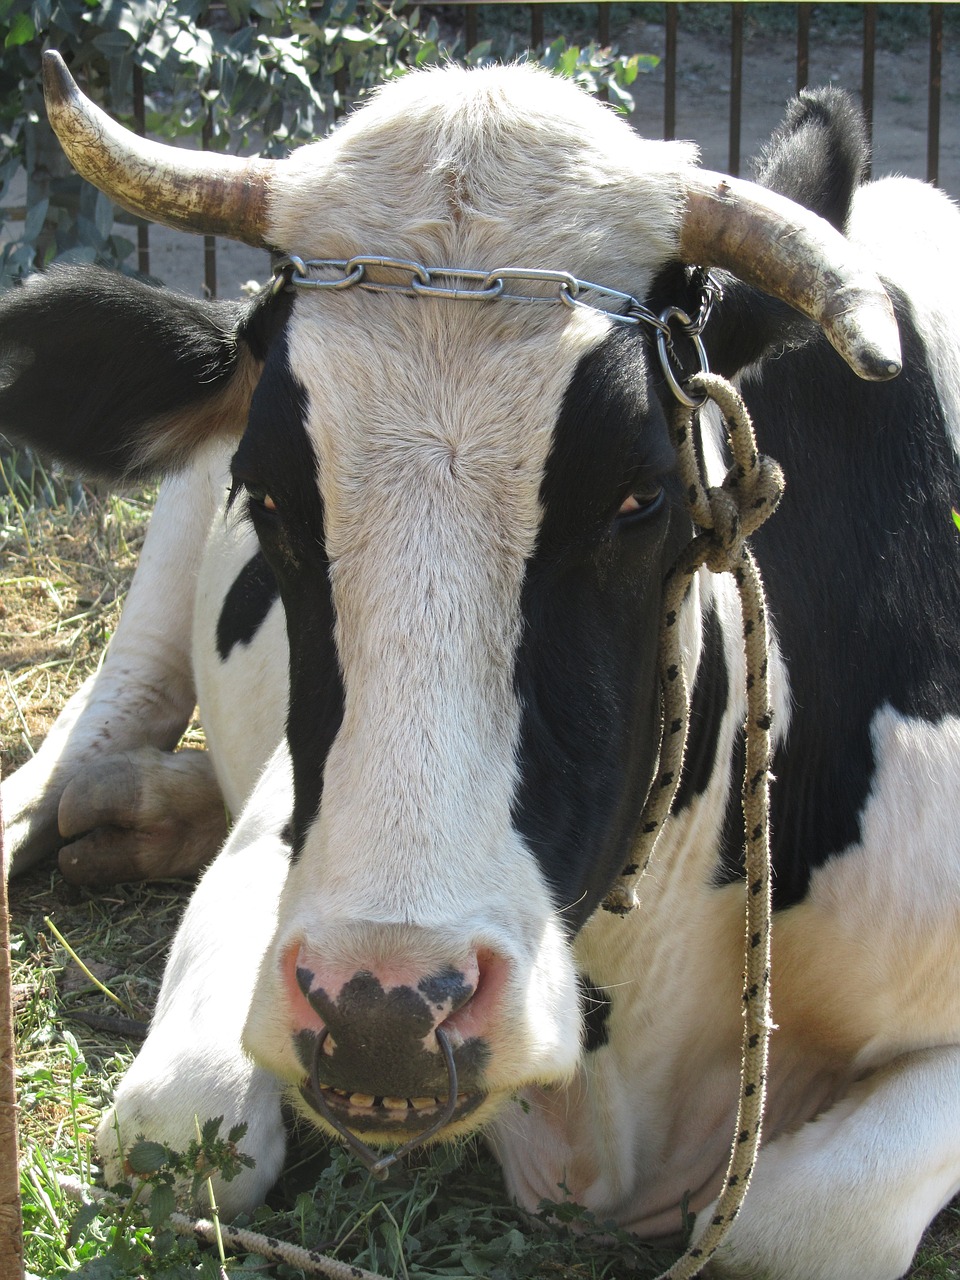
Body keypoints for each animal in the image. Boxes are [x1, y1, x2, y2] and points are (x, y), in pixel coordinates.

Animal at [1, 52, 960, 1280]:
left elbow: (793, 1224)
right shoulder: (292, 832)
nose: (384, 1011)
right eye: (267, 496)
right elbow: (181, 1121)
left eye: (642, 496)